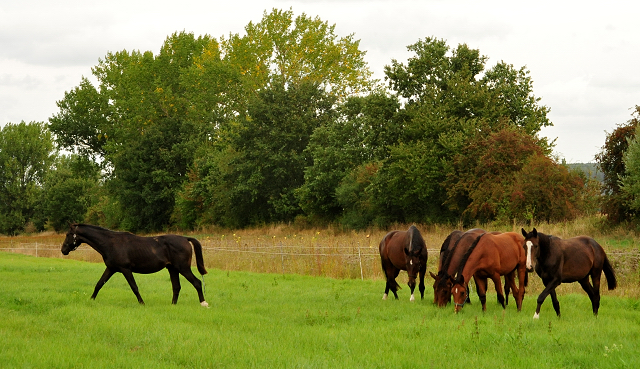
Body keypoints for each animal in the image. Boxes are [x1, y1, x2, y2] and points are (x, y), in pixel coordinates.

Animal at [61, 223, 209, 306]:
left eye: (68, 234)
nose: (63, 250)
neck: (110, 243)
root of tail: (185, 239)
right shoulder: (111, 268)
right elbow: (99, 284)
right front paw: (91, 300)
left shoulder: (125, 269)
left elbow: (134, 287)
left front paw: (142, 303)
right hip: (172, 269)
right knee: (176, 287)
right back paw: (173, 305)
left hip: (182, 268)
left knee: (197, 282)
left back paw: (203, 303)